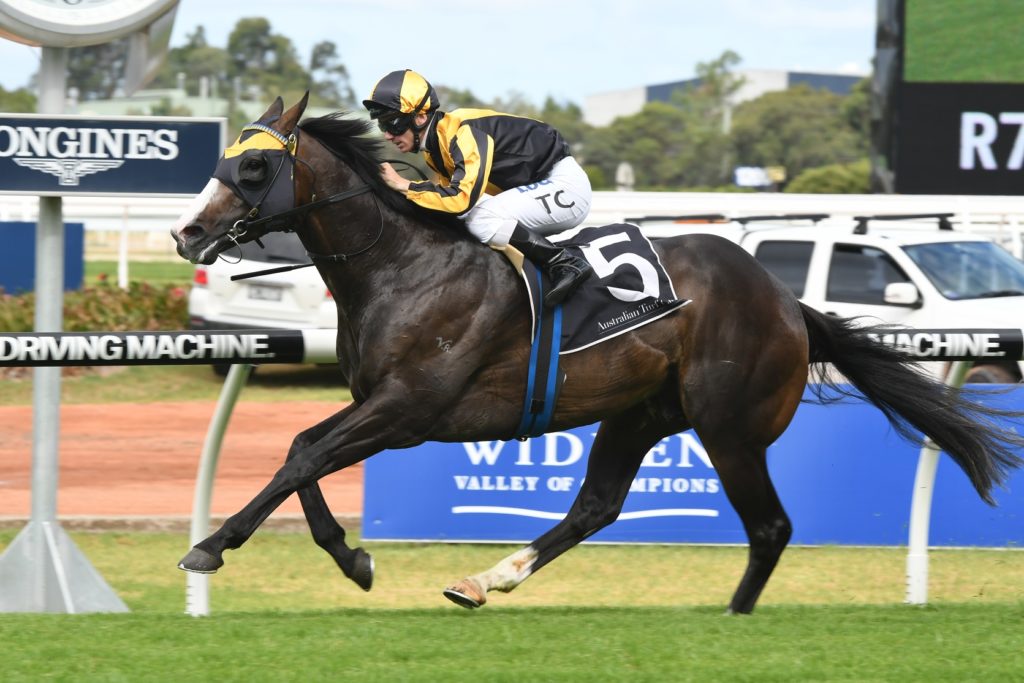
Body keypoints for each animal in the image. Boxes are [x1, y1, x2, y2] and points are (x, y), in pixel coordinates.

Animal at [170, 93, 1024, 614]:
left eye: (254, 166)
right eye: (227, 160)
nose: (186, 232)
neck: (401, 262)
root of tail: (787, 303)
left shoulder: (410, 408)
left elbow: (305, 454)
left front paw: (210, 546)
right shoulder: (380, 403)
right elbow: (304, 454)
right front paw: (352, 558)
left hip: (729, 425)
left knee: (770, 526)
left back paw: (733, 614)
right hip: (639, 412)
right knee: (596, 505)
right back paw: (486, 578)